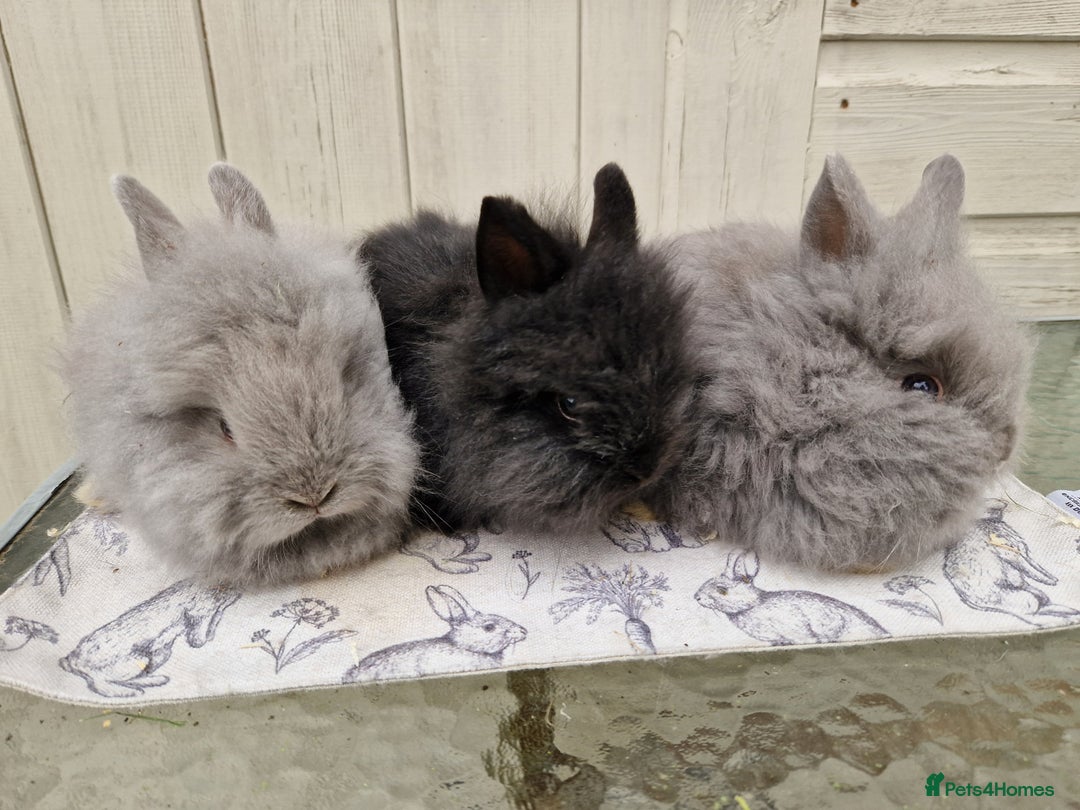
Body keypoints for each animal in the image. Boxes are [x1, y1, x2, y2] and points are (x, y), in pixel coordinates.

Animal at [59, 578, 241, 698]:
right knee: (99, 683)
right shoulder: (198, 612)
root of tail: (73, 659)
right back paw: (129, 692)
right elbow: (198, 633)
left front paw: (211, 635)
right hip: (135, 660)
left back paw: (157, 681)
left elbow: (216, 618)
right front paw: (202, 640)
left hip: (159, 654)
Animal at [943, 498, 1080, 626]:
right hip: (1022, 600)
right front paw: (1051, 581)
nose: (1003, 502)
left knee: (1044, 607)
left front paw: (1052, 578)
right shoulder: (1012, 553)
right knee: (1035, 617)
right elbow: (1030, 568)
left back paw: (1072, 613)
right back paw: (1070, 619)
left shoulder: (1023, 552)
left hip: (1033, 596)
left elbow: (1035, 566)